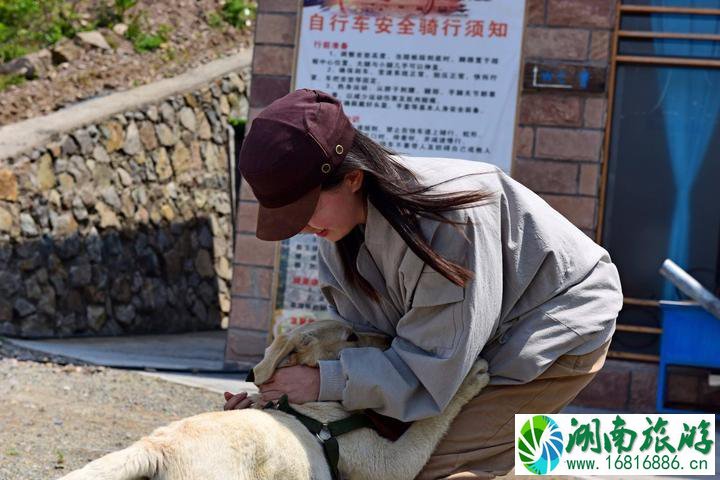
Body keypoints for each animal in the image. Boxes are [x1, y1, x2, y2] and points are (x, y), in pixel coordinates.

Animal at [57, 320, 490, 478]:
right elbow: (429, 423)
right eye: (350, 336)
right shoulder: (385, 463)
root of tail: (156, 447)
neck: (309, 410)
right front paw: (471, 375)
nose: (388, 338)